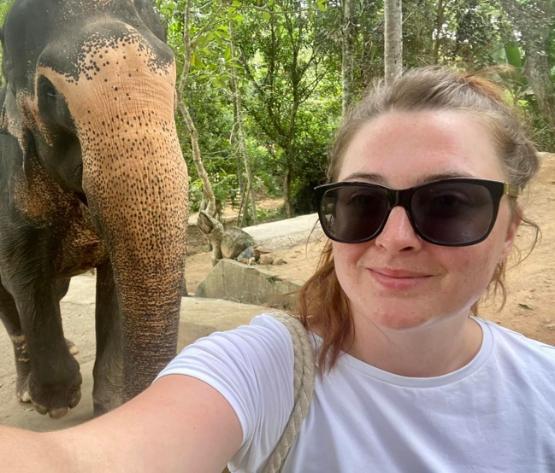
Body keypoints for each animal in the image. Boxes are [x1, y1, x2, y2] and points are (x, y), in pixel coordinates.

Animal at [0, 0, 189, 416]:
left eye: (172, 72)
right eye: (48, 93)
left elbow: (114, 281)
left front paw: (111, 403)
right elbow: (22, 272)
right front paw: (57, 401)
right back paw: (28, 391)